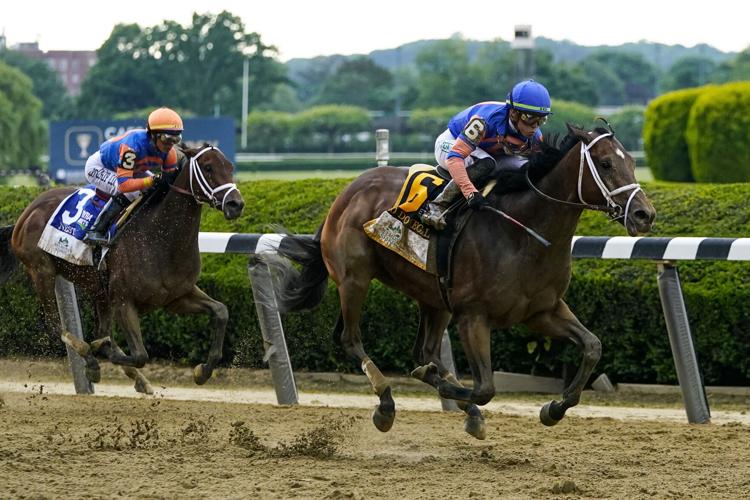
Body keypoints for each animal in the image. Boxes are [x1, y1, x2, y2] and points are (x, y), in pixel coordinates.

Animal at [0, 145, 245, 393]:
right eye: (208, 167)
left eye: (230, 167)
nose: (236, 204)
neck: (161, 238)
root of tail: (26, 213)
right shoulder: (124, 302)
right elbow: (139, 355)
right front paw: (98, 352)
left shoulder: (177, 297)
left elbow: (221, 311)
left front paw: (203, 371)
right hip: (42, 271)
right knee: (53, 324)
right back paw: (92, 360)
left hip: (98, 289)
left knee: (100, 331)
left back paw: (134, 376)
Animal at [267, 123, 656, 440]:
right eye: (605, 164)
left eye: (631, 162)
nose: (644, 214)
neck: (524, 232)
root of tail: (347, 192)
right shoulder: (473, 317)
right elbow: (484, 388)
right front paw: (453, 394)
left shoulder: (542, 311)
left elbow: (592, 346)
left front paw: (553, 409)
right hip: (354, 280)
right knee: (350, 339)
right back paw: (387, 404)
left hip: (432, 297)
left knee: (423, 351)